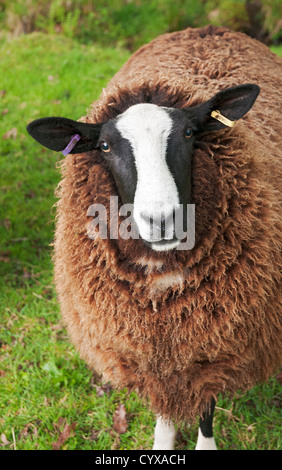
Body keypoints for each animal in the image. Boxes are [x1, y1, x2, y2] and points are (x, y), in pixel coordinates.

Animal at [25, 26, 280, 452]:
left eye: (190, 133)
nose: (161, 220)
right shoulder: (151, 347)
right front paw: (163, 439)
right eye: (105, 146)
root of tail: (208, 29)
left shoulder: (213, 346)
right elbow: (165, 401)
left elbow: (206, 407)